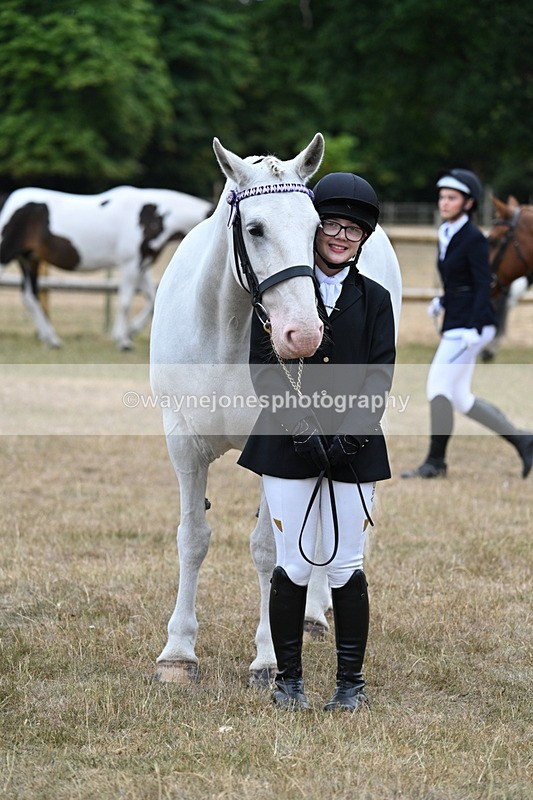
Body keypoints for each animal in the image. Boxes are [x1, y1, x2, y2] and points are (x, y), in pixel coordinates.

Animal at [0, 186, 213, 349]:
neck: (150, 215)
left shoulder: (142, 265)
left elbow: (153, 299)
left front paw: (132, 331)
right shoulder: (130, 264)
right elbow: (125, 302)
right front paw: (123, 340)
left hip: (29, 260)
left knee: (30, 297)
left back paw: (52, 340)